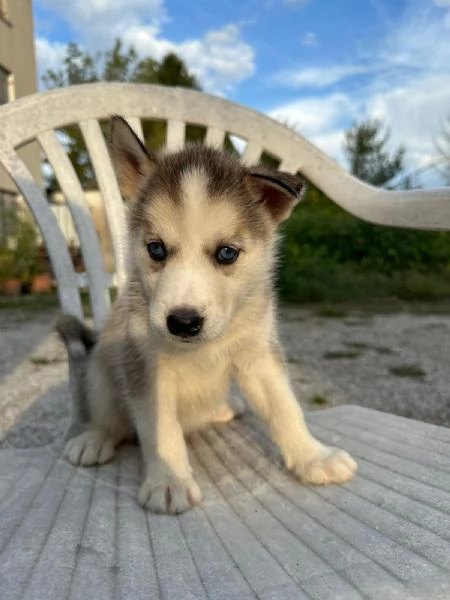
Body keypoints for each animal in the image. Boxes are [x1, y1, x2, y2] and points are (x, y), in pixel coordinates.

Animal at [59, 118, 356, 516]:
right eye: (156, 249)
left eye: (227, 253)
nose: (183, 323)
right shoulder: (146, 368)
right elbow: (160, 431)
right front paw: (169, 482)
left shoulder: (258, 357)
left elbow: (286, 409)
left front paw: (313, 456)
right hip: (100, 373)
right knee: (107, 416)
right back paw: (93, 438)